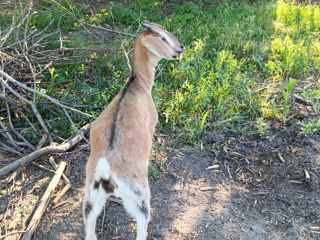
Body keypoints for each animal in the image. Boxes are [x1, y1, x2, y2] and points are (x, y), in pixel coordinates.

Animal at [82, 21, 184, 240]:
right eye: (162, 37)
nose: (180, 46)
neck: (136, 84)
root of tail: (106, 171)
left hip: (91, 198)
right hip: (139, 197)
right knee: (141, 225)